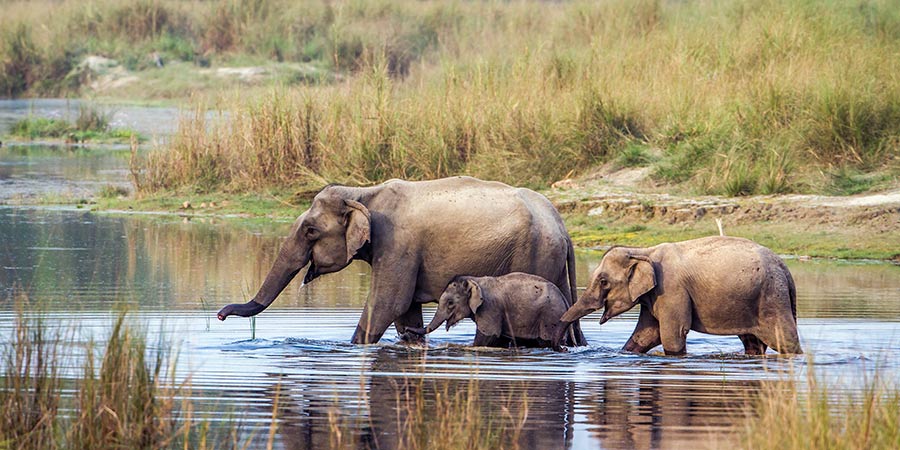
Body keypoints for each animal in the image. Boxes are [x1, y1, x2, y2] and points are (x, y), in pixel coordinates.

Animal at [215, 176, 588, 344]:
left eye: (310, 231)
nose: (219, 315)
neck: (363, 194)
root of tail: (563, 227)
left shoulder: (398, 246)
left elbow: (387, 304)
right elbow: (405, 309)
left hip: (535, 255)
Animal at [414, 274, 568, 352]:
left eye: (450, 303)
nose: (406, 332)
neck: (475, 280)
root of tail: (564, 298)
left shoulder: (490, 308)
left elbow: (487, 337)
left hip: (550, 317)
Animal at [564, 236, 800, 356]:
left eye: (603, 281)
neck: (643, 251)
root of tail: (786, 269)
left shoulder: (671, 290)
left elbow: (672, 334)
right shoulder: (654, 296)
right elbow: (646, 334)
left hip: (772, 297)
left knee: (785, 340)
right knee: (753, 343)